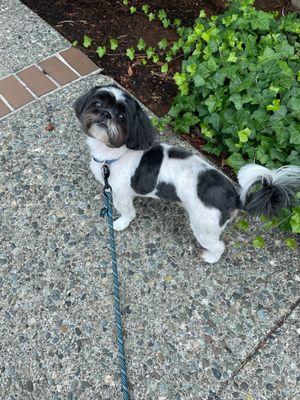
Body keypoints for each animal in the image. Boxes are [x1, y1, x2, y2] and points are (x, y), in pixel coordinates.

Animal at [74, 85, 298, 262]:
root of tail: (234, 197)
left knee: (219, 246)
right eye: (98, 104)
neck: (114, 155)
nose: (106, 114)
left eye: (122, 117)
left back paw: (210, 257)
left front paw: (120, 223)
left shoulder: (121, 194)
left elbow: (128, 213)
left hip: (203, 226)